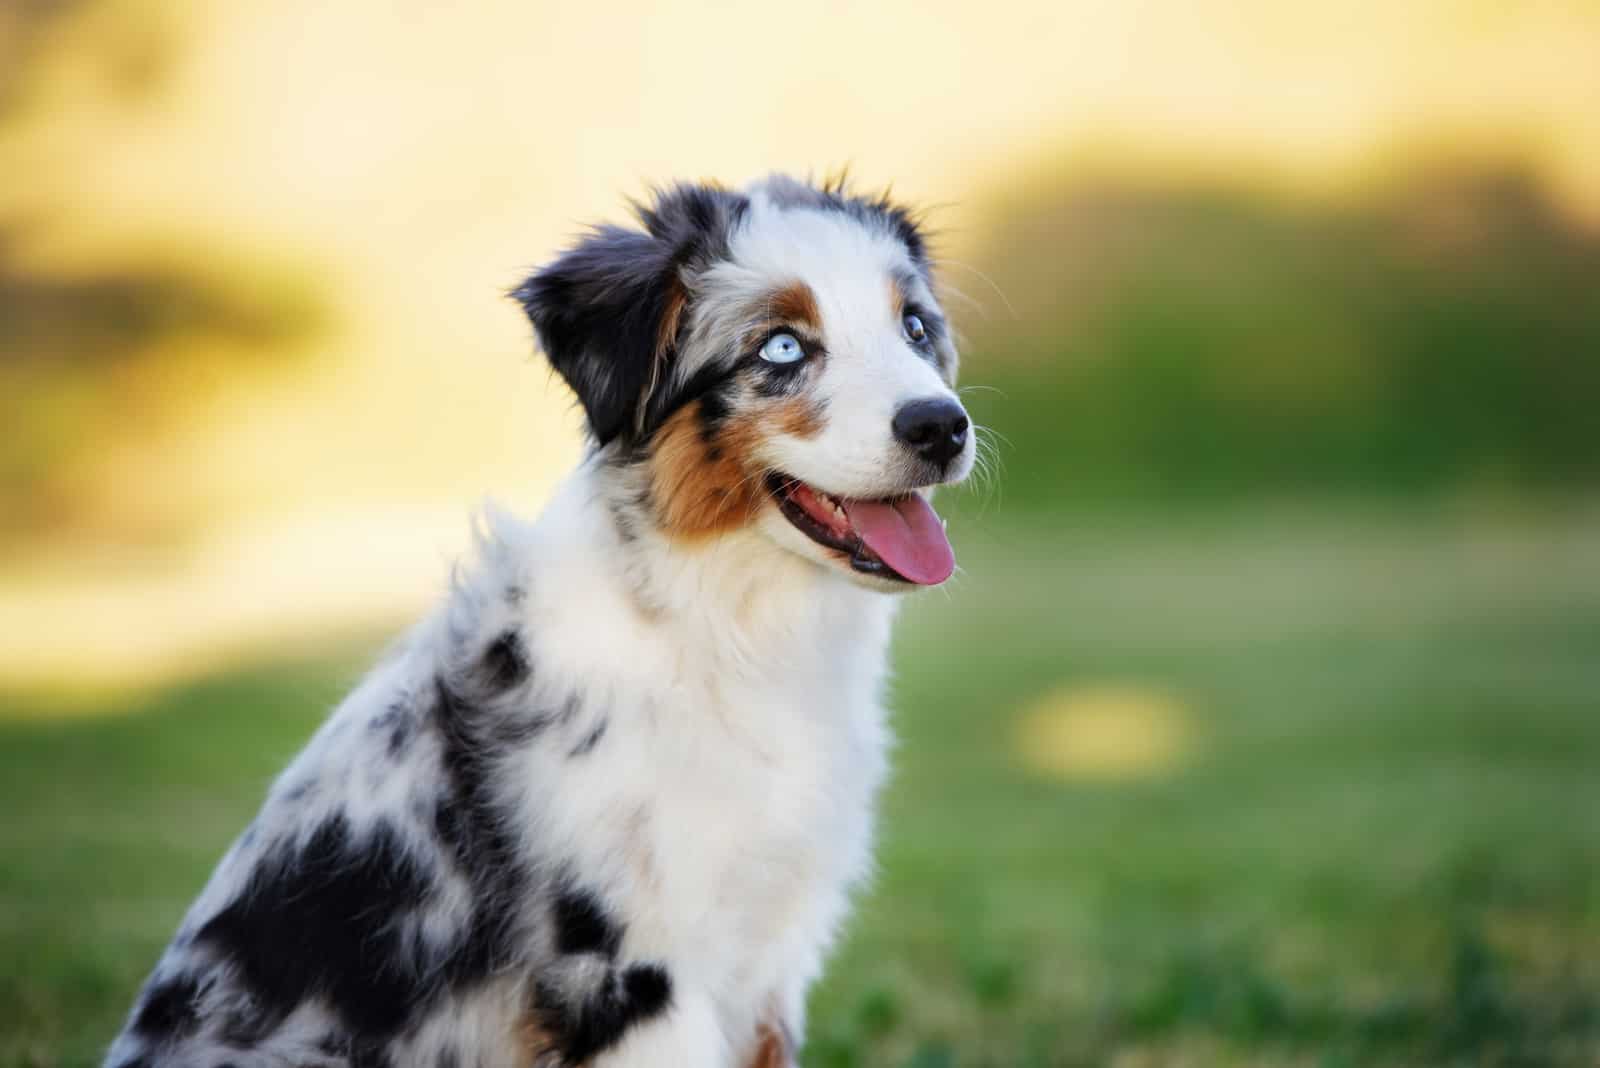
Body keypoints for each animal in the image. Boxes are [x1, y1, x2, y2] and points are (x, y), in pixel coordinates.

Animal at [103, 175, 972, 1068]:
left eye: (914, 328)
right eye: (784, 349)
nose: (942, 425)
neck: (724, 631)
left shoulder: (769, 959)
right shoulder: (627, 969)